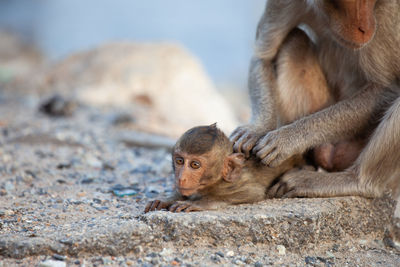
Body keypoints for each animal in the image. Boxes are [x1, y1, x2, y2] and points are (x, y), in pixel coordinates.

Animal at [145, 123, 304, 214]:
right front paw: (166, 199)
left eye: (195, 165)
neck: (217, 181)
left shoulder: (237, 183)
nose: (181, 178)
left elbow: (253, 193)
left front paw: (199, 203)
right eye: (179, 161)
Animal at [231, 0, 400, 199]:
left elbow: (386, 88)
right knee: (294, 40)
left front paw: (287, 139)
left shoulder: (387, 13)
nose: (365, 28)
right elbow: (263, 58)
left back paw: (355, 181)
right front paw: (258, 128)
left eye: (369, 2)